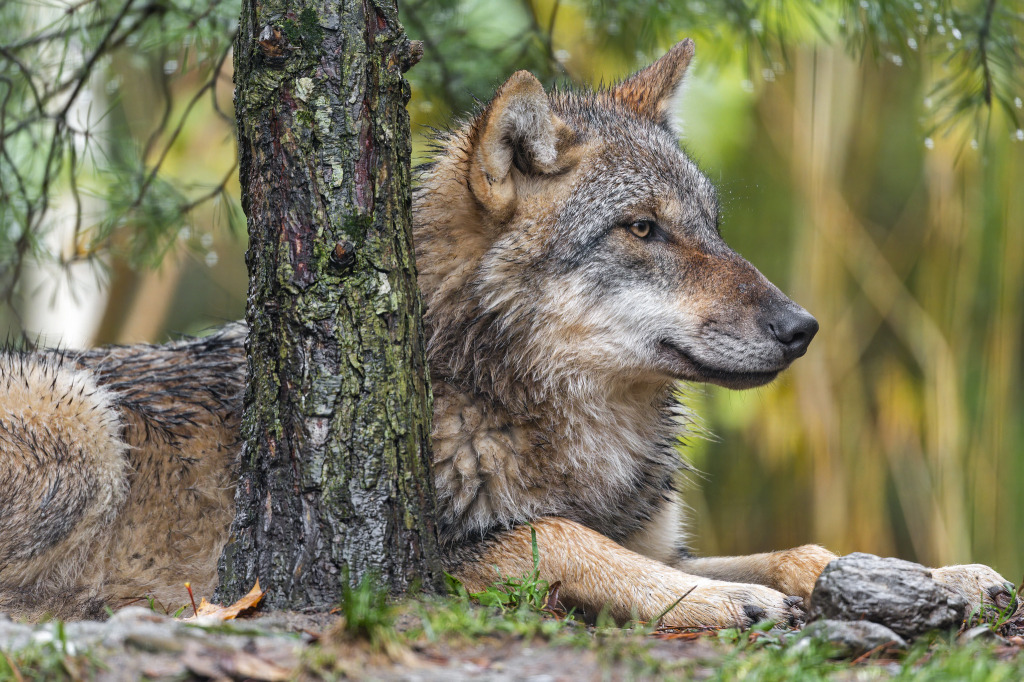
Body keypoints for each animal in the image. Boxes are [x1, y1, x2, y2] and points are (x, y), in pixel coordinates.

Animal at [0, 40, 1015, 625]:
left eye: (710, 225)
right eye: (641, 229)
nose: (802, 327)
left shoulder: (658, 539)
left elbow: (805, 551)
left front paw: (945, 579)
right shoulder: (436, 559)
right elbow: (565, 537)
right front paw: (729, 599)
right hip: (76, 416)